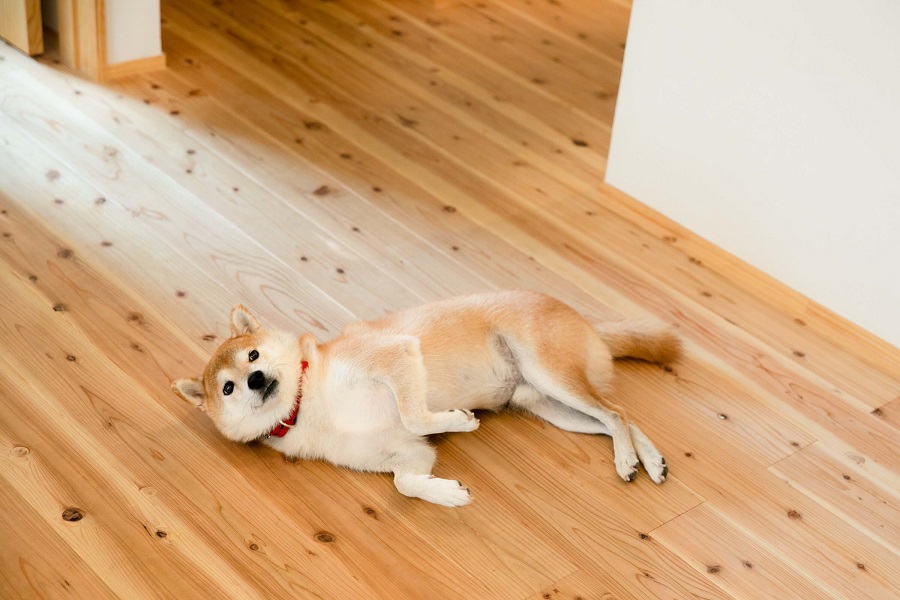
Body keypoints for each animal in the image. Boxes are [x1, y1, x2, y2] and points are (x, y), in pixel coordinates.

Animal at [174, 290, 684, 506]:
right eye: (227, 387)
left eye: (253, 355)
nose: (257, 379)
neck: (307, 404)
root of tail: (584, 320)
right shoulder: (406, 455)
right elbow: (406, 482)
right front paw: (448, 494)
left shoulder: (396, 357)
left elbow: (417, 415)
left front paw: (458, 419)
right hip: (550, 406)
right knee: (618, 416)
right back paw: (646, 460)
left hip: (549, 373)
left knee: (615, 411)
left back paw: (628, 459)